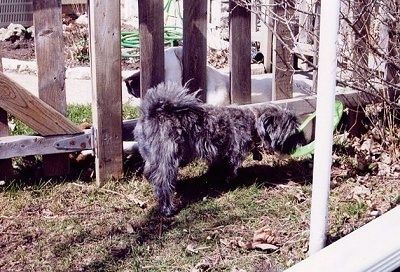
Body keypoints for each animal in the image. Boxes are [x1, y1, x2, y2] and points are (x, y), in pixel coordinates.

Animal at [134, 82, 304, 216]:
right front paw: (228, 182)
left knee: (151, 172)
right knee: (162, 181)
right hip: (169, 158)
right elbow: (228, 169)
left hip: (155, 157)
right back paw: (168, 208)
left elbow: (217, 167)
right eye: (292, 133)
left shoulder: (218, 154)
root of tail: (152, 113)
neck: (253, 122)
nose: (301, 142)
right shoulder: (232, 154)